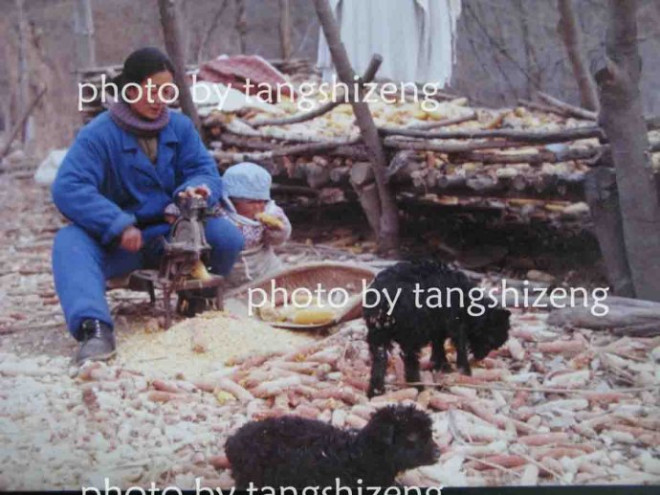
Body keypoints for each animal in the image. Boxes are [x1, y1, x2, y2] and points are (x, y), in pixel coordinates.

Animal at [366, 260, 510, 400]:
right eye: (490, 340)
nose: (480, 357)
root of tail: (385, 301)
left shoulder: (437, 326)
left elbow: (438, 344)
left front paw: (441, 365)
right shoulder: (455, 324)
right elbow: (460, 346)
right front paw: (464, 371)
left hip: (377, 333)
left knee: (380, 359)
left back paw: (375, 391)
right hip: (411, 334)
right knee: (409, 360)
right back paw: (418, 387)